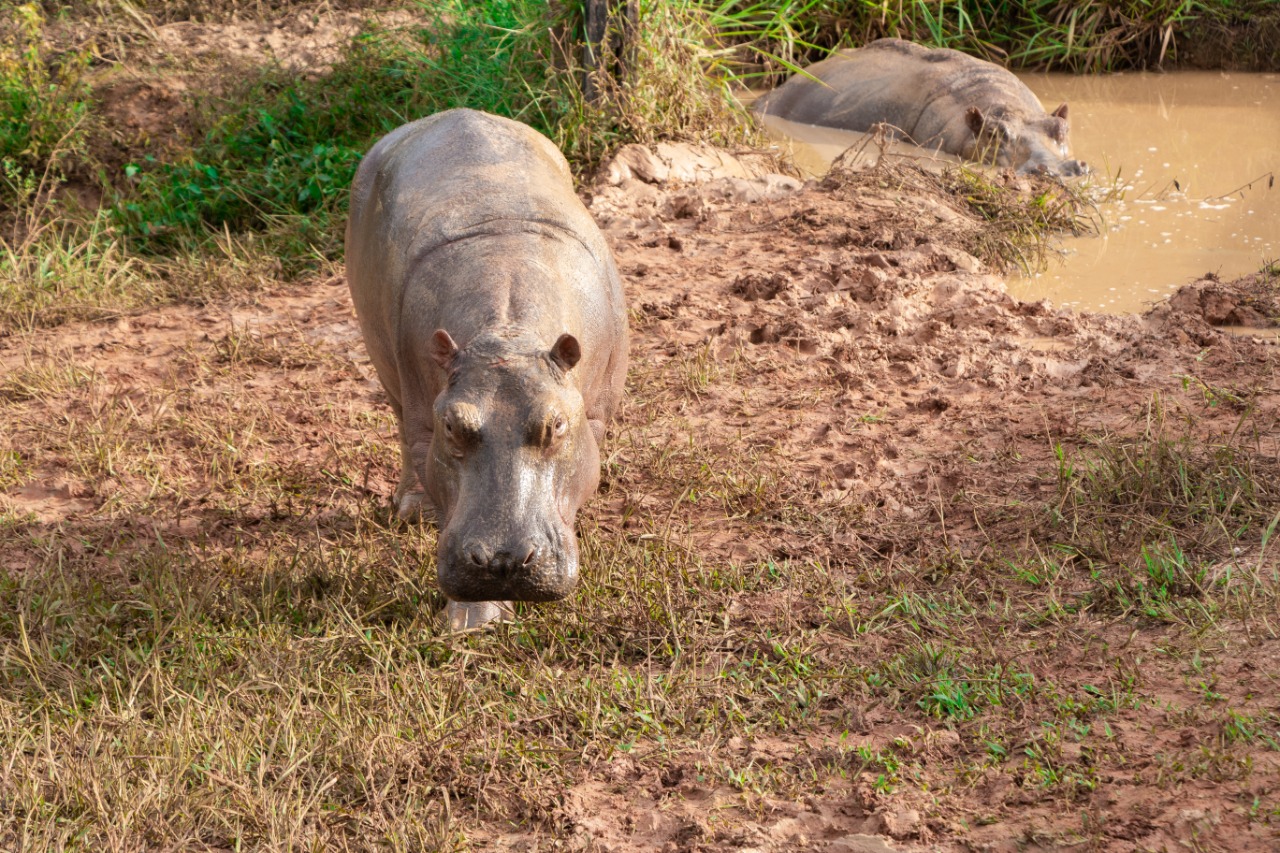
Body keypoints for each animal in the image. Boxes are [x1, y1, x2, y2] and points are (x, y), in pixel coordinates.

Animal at [345, 106, 629, 627]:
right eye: (452, 425)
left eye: (557, 425)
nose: (502, 562)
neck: (508, 336)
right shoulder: (427, 422)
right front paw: (472, 624)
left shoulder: (595, 414)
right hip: (386, 367)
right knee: (400, 426)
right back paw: (412, 512)